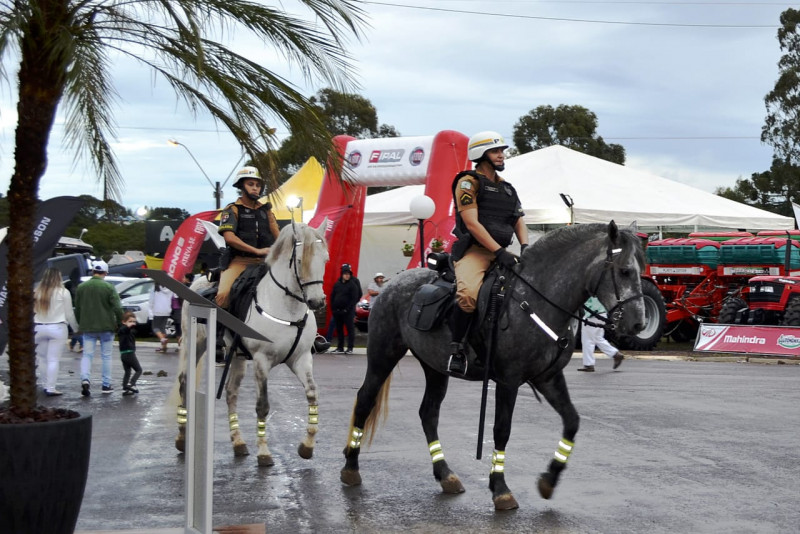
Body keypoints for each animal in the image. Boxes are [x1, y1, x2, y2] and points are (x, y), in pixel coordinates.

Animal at [173, 220, 326, 466]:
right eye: (299, 261)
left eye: (325, 259)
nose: (317, 301)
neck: (286, 307)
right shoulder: (262, 360)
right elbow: (262, 406)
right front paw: (264, 452)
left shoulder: (301, 359)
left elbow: (312, 394)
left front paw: (307, 445)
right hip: (194, 344)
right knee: (184, 382)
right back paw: (182, 438)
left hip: (236, 357)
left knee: (230, 392)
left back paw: (238, 442)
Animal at [340, 221, 648, 510]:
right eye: (624, 271)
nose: (639, 324)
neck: (536, 299)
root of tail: (391, 284)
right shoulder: (508, 380)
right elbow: (501, 430)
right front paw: (500, 489)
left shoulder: (548, 377)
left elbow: (572, 421)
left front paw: (550, 479)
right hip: (383, 355)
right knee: (365, 400)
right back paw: (351, 468)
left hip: (435, 368)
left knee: (428, 413)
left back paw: (445, 474)